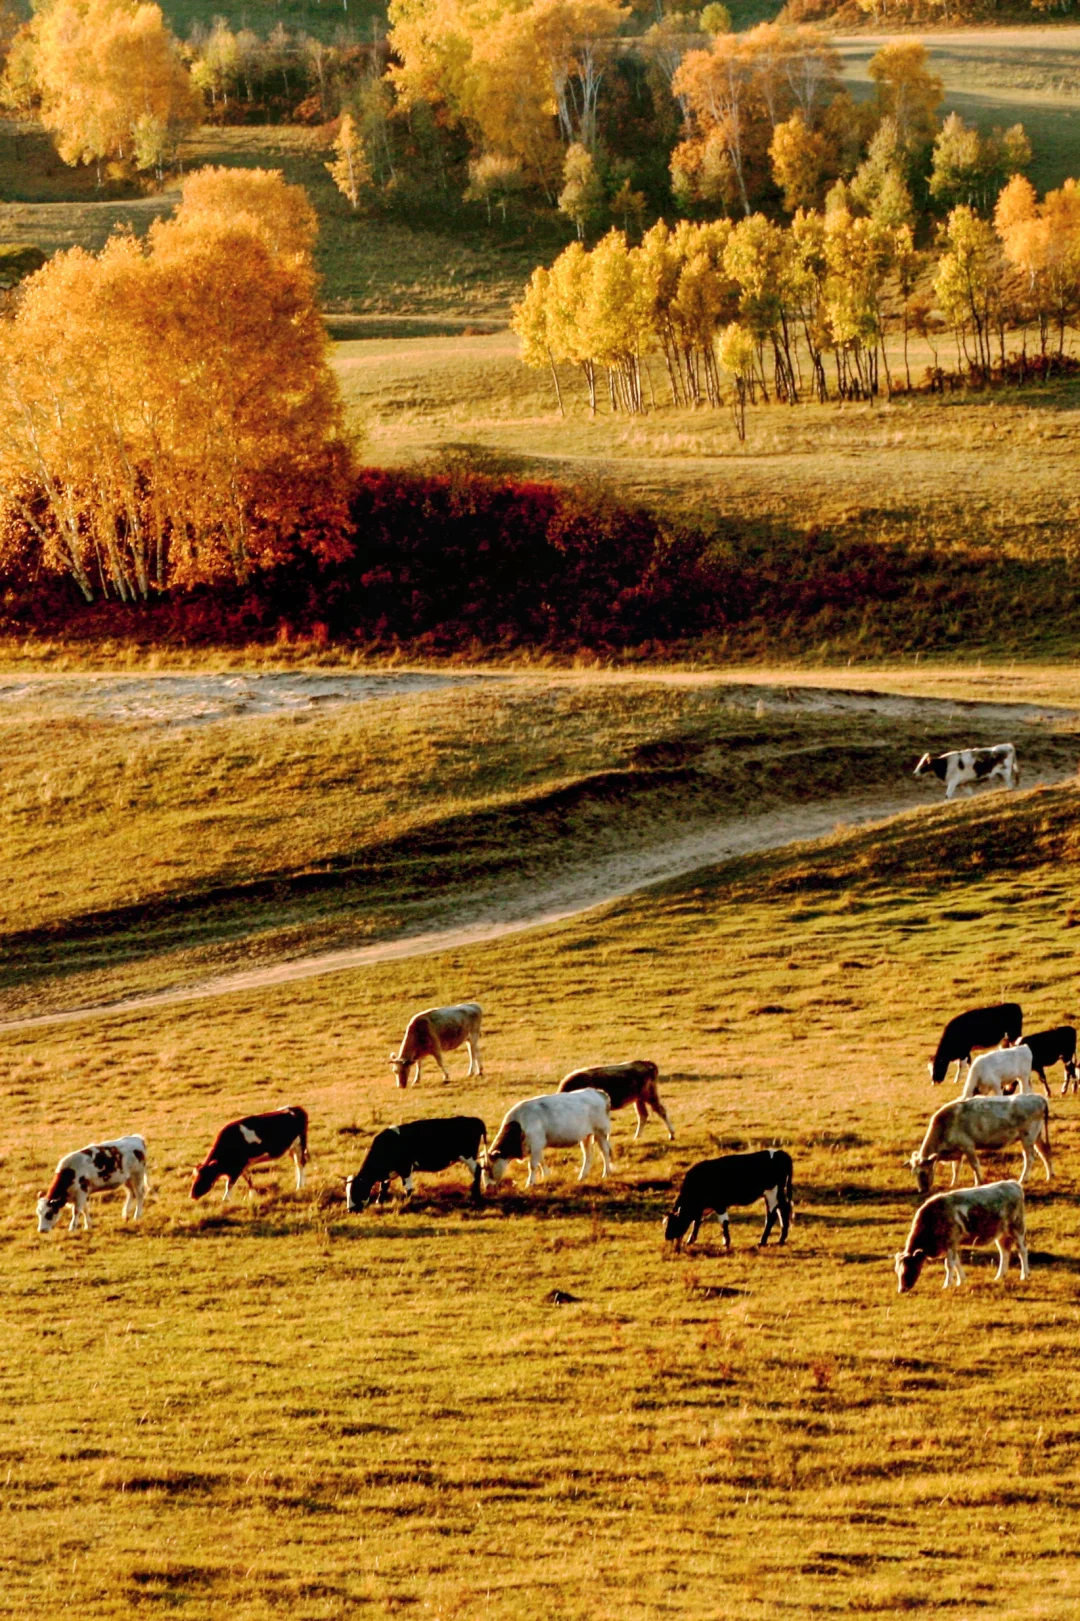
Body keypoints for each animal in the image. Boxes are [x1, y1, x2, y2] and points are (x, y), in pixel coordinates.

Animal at [342, 1115, 486, 1206]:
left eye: (356, 1190)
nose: (350, 1210)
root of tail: (473, 1120)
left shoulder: (406, 1168)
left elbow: (408, 1187)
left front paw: (407, 1202)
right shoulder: (388, 1172)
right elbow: (383, 1186)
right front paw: (379, 1201)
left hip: (468, 1157)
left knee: (478, 1171)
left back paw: (475, 1196)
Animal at [655, 1141, 791, 1251]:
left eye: (673, 1223)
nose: (667, 1237)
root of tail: (781, 1153)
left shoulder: (719, 1204)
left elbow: (723, 1222)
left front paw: (726, 1242)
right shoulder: (703, 1208)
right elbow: (696, 1222)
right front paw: (690, 1240)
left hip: (772, 1192)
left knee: (772, 1215)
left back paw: (762, 1241)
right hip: (776, 1193)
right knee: (783, 1210)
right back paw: (781, 1239)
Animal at [888, 1180, 1024, 1290]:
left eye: (909, 1269)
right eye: (897, 1271)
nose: (901, 1289)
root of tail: (1013, 1184)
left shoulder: (950, 1241)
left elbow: (949, 1264)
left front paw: (947, 1285)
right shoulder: (949, 1245)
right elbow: (956, 1261)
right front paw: (961, 1280)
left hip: (1017, 1228)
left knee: (1022, 1250)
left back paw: (1024, 1275)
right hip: (1002, 1234)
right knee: (1004, 1252)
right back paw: (1000, 1276)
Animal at [901, 1089, 1044, 1206]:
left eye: (923, 1172)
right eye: (914, 1173)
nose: (921, 1190)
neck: (945, 1125)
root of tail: (1039, 1098)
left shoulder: (968, 1147)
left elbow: (974, 1165)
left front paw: (979, 1182)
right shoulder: (958, 1151)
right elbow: (956, 1168)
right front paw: (954, 1183)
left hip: (1027, 1138)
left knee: (1029, 1158)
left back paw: (1023, 1178)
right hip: (1037, 1137)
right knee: (1045, 1153)